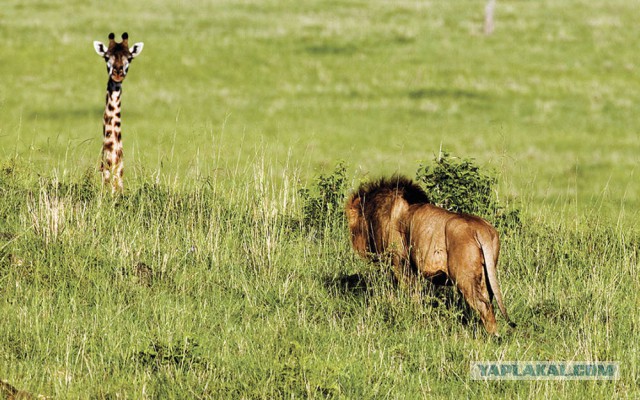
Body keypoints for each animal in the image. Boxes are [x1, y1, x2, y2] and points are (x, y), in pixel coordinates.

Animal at [344, 175, 516, 334]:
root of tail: (482, 230)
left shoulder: (399, 262)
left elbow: (411, 293)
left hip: (464, 276)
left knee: (484, 305)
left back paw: (492, 336)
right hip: (485, 275)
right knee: (489, 300)